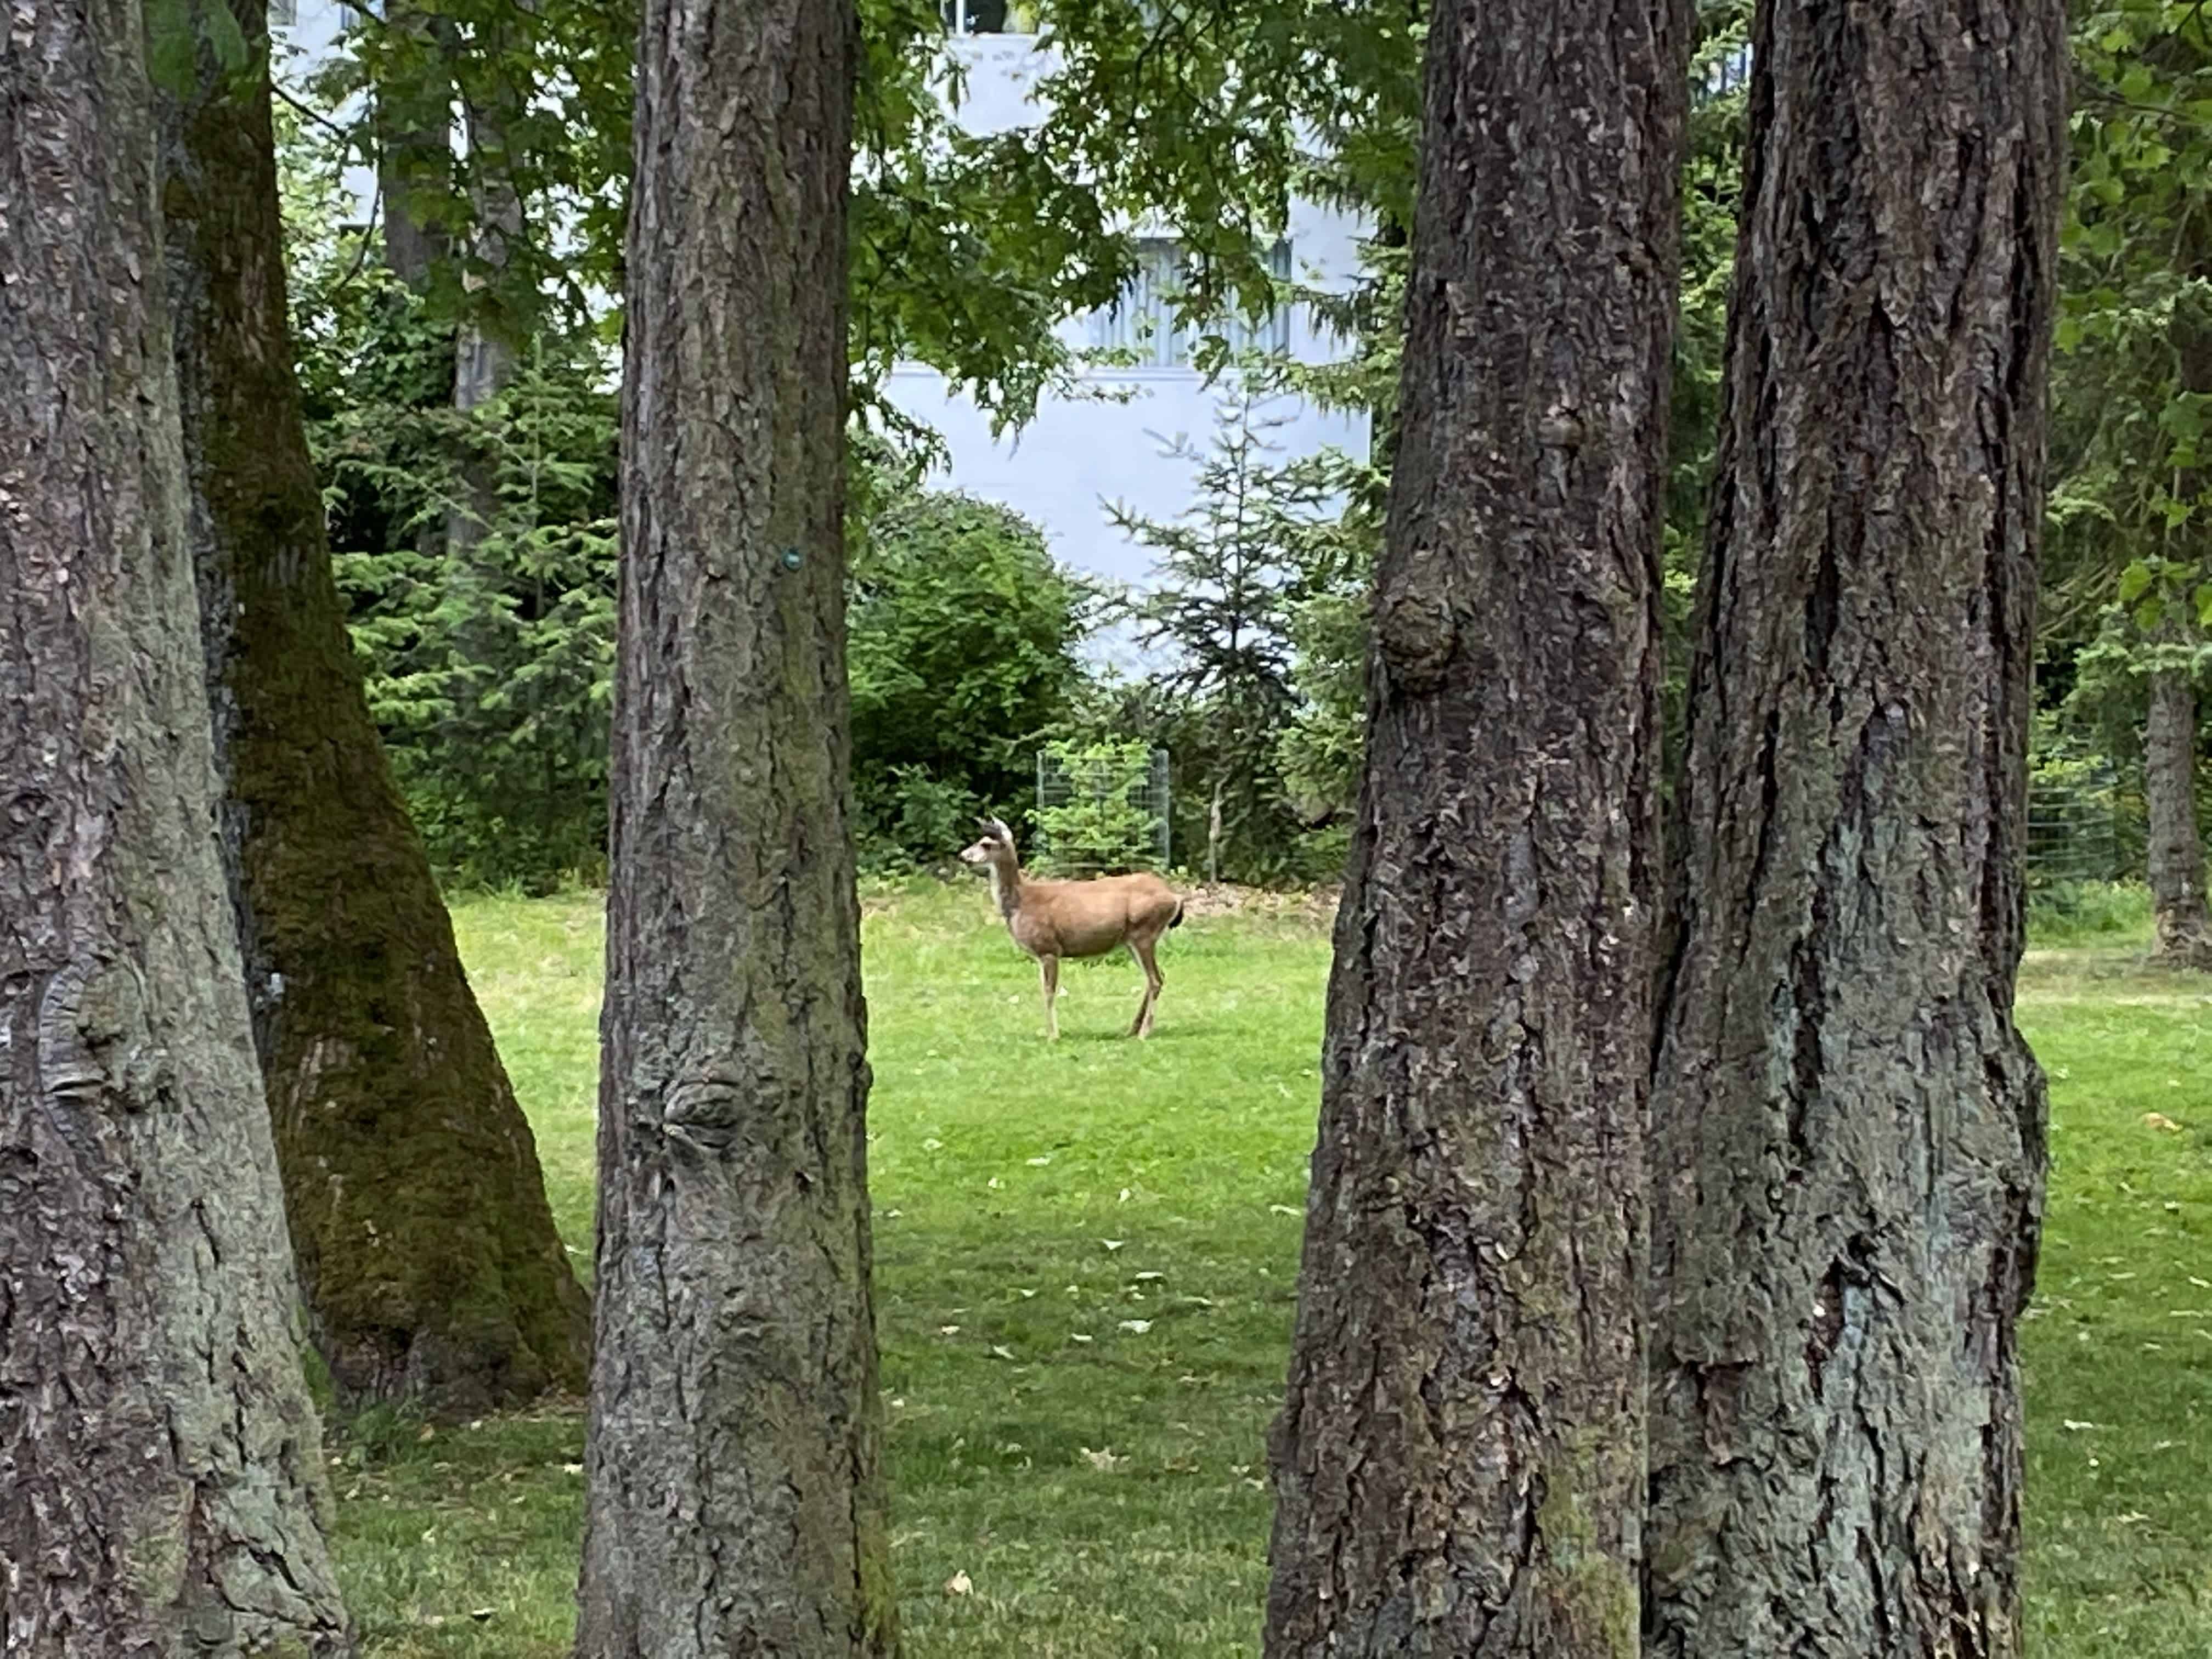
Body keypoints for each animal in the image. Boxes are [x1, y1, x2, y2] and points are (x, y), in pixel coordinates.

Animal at [958, 816, 1184, 1040]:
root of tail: (1175, 897)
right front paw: (1050, 1033)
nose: (963, 857)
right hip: (1132, 940)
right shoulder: (1041, 955)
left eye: (986, 844)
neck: (1022, 903)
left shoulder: (1049, 948)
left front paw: (1053, 1036)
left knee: (1155, 979)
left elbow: (1049, 992)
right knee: (1157, 976)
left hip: (1144, 932)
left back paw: (1144, 1033)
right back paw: (1132, 1029)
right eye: (980, 840)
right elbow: (1044, 990)